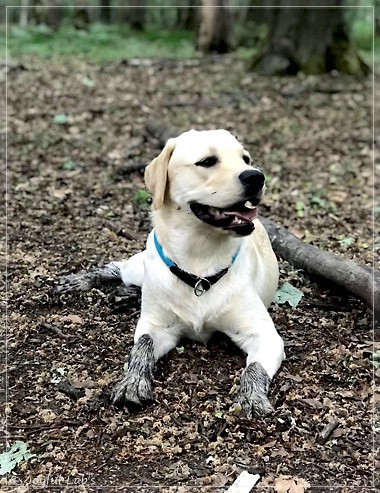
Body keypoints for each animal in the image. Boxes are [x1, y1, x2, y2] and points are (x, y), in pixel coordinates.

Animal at [58, 130, 284, 416]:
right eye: (207, 161)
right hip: (139, 267)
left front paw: (252, 396)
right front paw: (132, 382)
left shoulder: (265, 336)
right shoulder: (156, 327)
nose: (256, 176)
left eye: (246, 159)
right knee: (118, 267)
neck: (199, 266)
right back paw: (82, 282)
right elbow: (141, 347)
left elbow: (255, 368)